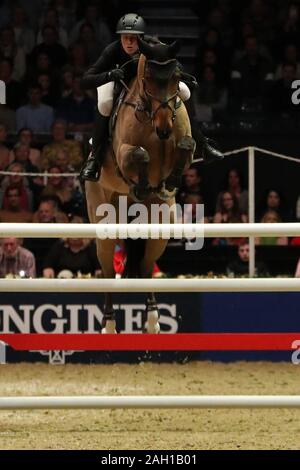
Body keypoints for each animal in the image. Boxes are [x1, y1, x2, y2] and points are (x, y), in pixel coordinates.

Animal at [85, 37, 196, 334]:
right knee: (107, 272)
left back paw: (154, 320)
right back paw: (109, 325)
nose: (164, 129)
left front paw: (170, 181)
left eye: (176, 77)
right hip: (104, 221)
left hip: (159, 227)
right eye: (147, 80)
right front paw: (143, 183)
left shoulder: (182, 141)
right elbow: (140, 154)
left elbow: (186, 145)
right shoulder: (124, 154)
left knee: (146, 267)